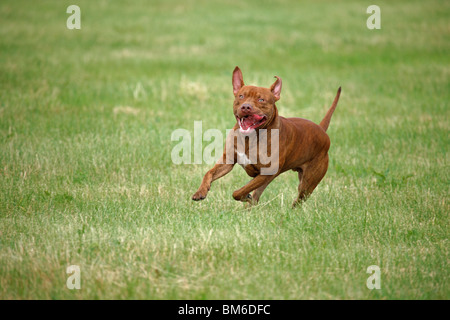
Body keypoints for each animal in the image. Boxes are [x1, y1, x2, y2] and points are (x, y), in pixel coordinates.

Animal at [191, 68, 342, 208]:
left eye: (261, 99)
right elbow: (209, 173)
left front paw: (245, 197)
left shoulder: (266, 172)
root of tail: (321, 129)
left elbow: (238, 192)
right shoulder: (227, 161)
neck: (250, 138)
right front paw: (201, 192)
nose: (246, 107)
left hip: (307, 183)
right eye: (241, 96)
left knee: (298, 200)